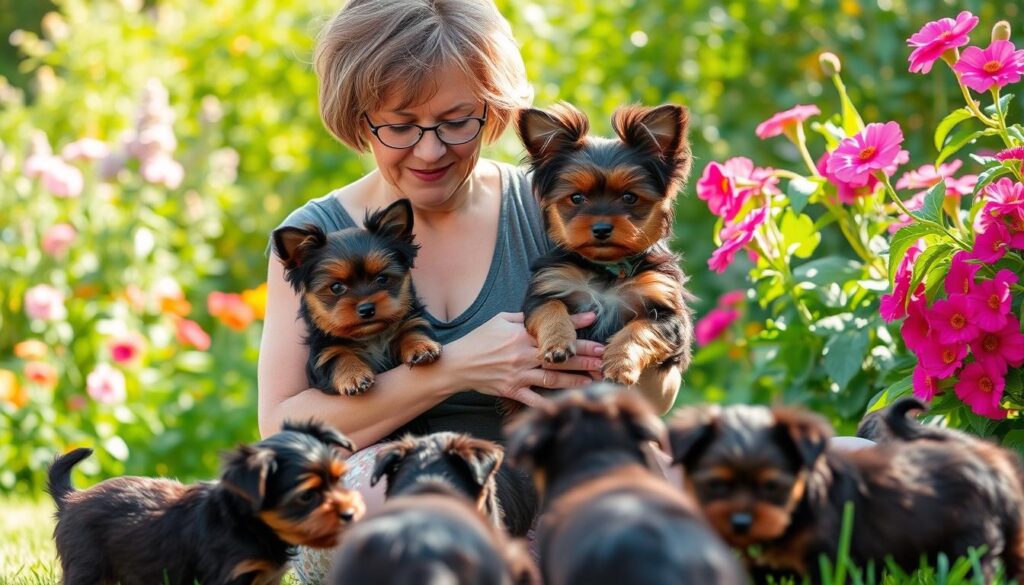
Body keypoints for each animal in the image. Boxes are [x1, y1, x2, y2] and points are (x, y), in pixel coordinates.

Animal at [49, 422, 368, 585]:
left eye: (339, 480)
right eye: (306, 496)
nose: (351, 513)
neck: (252, 526)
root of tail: (72, 498)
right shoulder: (229, 576)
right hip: (88, 567)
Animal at [274, 197, 442, 397]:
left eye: (382, 279)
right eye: (336, 287)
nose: (366, 309)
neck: (370, 337)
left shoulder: (410, 321)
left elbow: (411, 331)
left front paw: (421, 347)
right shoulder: (323, 351)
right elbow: (340, 355)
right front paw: (353, 375)